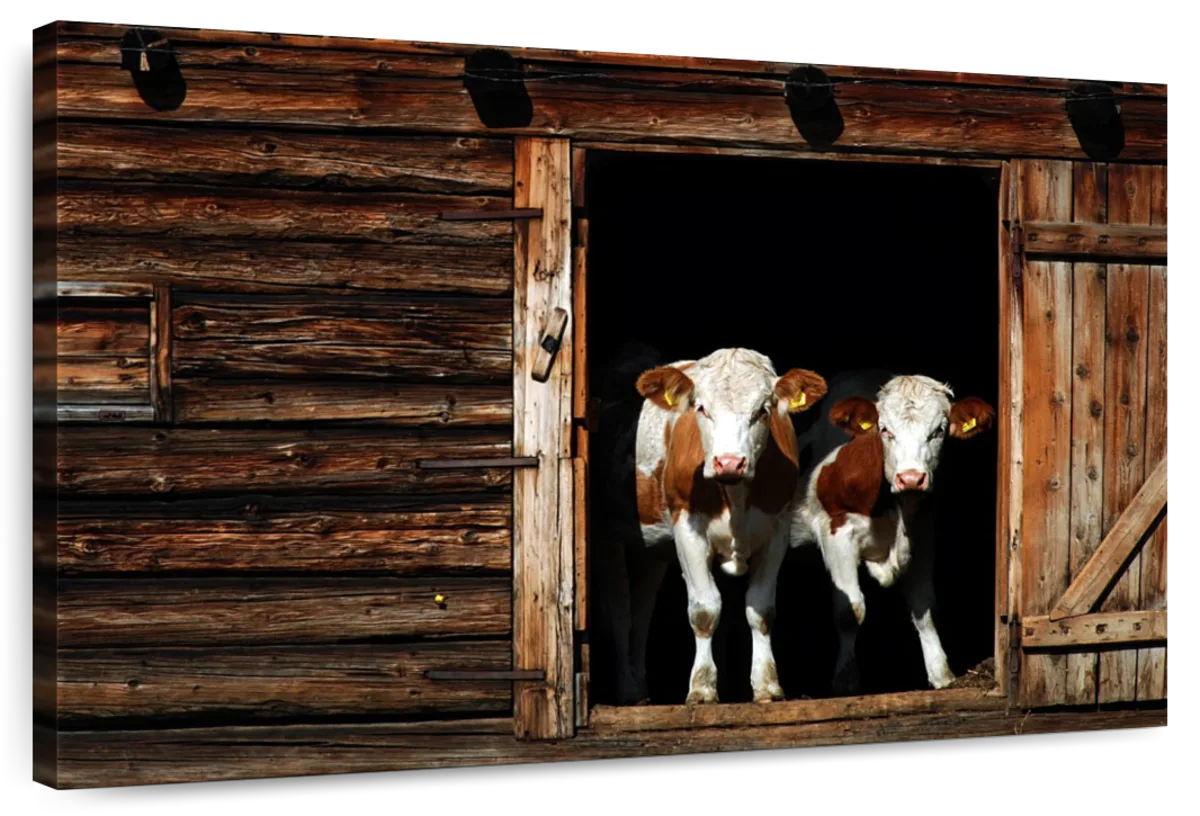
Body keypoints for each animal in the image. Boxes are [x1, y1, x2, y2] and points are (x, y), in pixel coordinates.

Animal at [592, 346, 827, 706]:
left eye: (763, 410)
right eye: (701, 408)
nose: (729, 462)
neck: (735, 497)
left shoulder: (778, 529)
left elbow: (761, 609)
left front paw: (767, 685)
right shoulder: (687, 529)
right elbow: (704, 609)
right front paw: (702, 688)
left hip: (650, 550)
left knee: (643, 609)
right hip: (608, 534)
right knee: (620, 610)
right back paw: (628, 691)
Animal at [789, 370, 995, 696]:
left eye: (938, 431)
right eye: (885, 430)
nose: (911, 478)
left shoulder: (923, 531)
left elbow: (925, 606)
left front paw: (941, 674)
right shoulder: (836, 531)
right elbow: (850, 611)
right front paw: (846, 682)